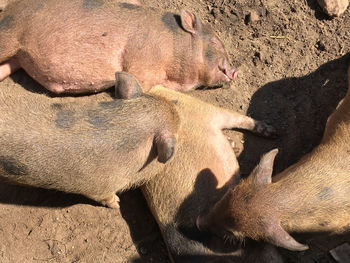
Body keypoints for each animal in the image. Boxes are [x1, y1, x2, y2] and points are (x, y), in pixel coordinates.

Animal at [0, 0, 238, 96]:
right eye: (215, 42)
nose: (235, 69)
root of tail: (10, 6)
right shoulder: (141, 63)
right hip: (9, 34)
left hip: (17, 59)